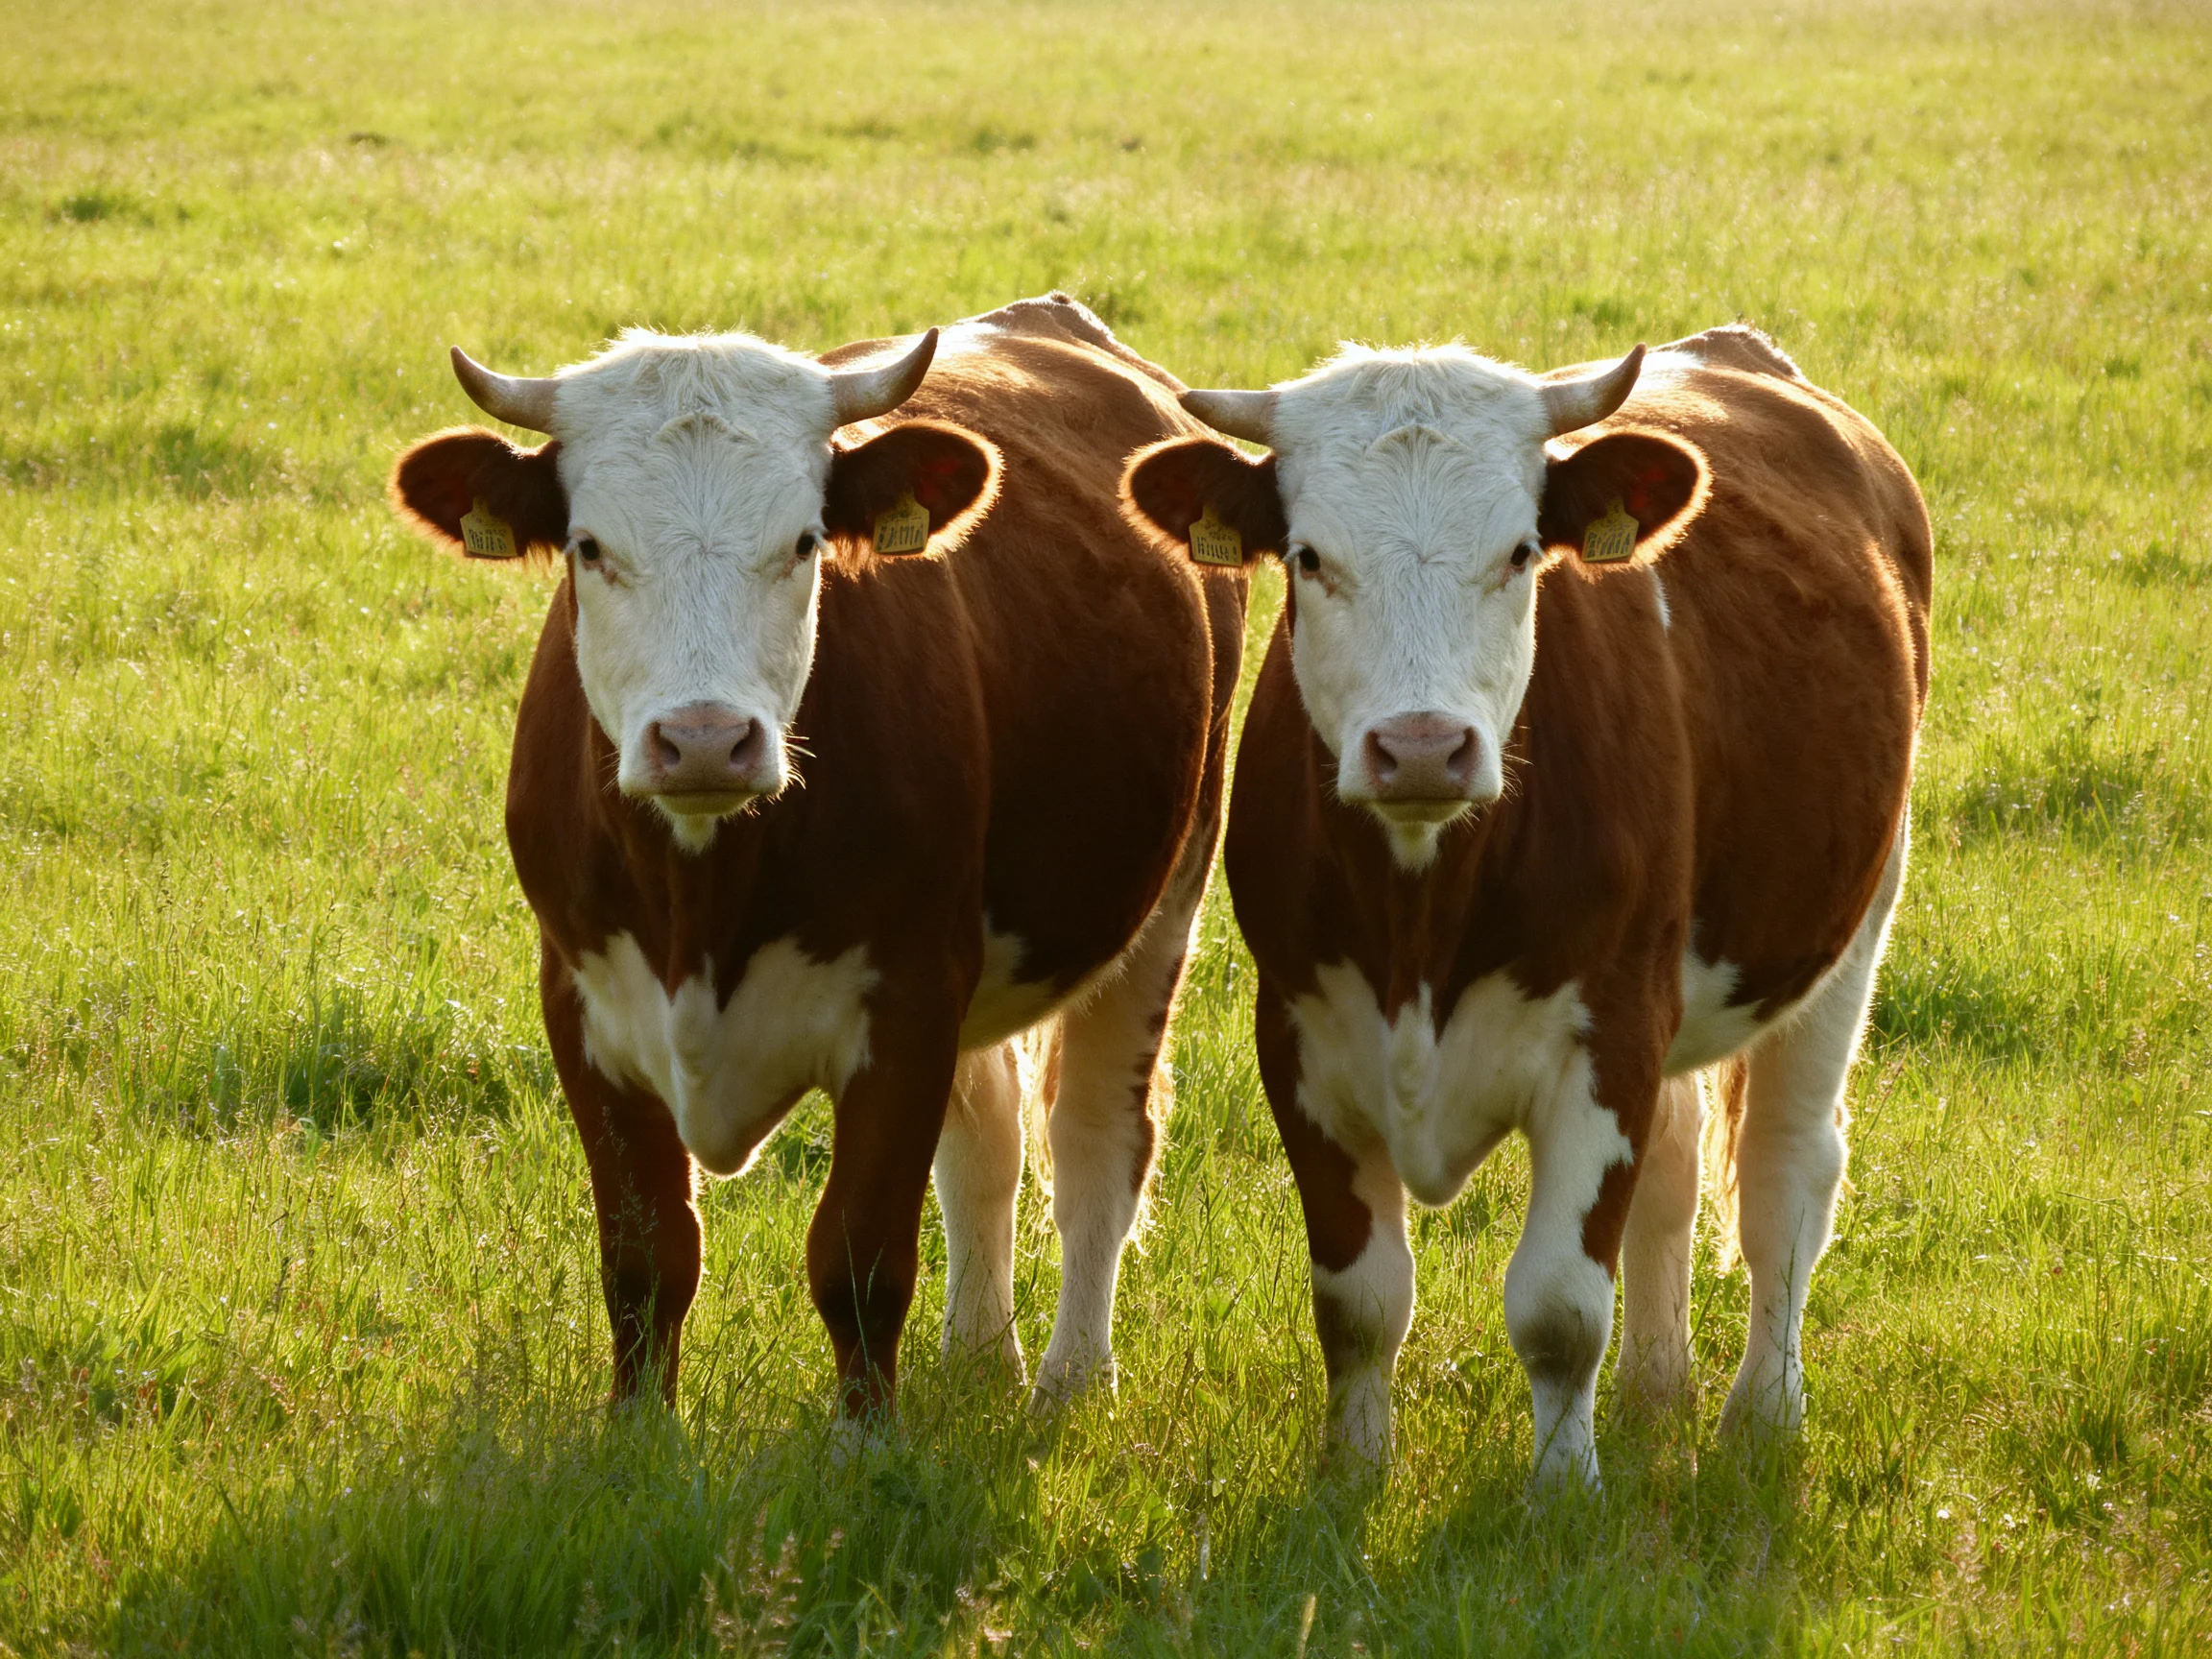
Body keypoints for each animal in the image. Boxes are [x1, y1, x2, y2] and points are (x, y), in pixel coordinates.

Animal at [388, 294, 1243, 1426]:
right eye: (589, 546)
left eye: (802, 544)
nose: (705, 739)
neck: (700, 901)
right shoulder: (581, 999)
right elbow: (647, 1253)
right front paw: (638, 1432)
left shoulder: (909, 1003)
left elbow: (860, 1255)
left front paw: (865, 1439)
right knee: (989, 1139)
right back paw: (981, 1360)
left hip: (1165, 898)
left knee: (1098, 1140)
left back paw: (1068, 1382)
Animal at [1122, 326, 1930, 1488]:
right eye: (1311, 558)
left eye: (1517, 553)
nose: (1421, 747)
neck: (1421, 912)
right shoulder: (1302, 1039)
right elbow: (1358, 1304)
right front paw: (1351, 1476)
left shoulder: (1607, 1039)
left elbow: (1558, 1309)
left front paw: (1561, 1487)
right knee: (1677, 1169)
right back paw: (1654, 1392)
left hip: (1850, 929)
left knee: (1785, 1175)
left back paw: (1762, 1416)